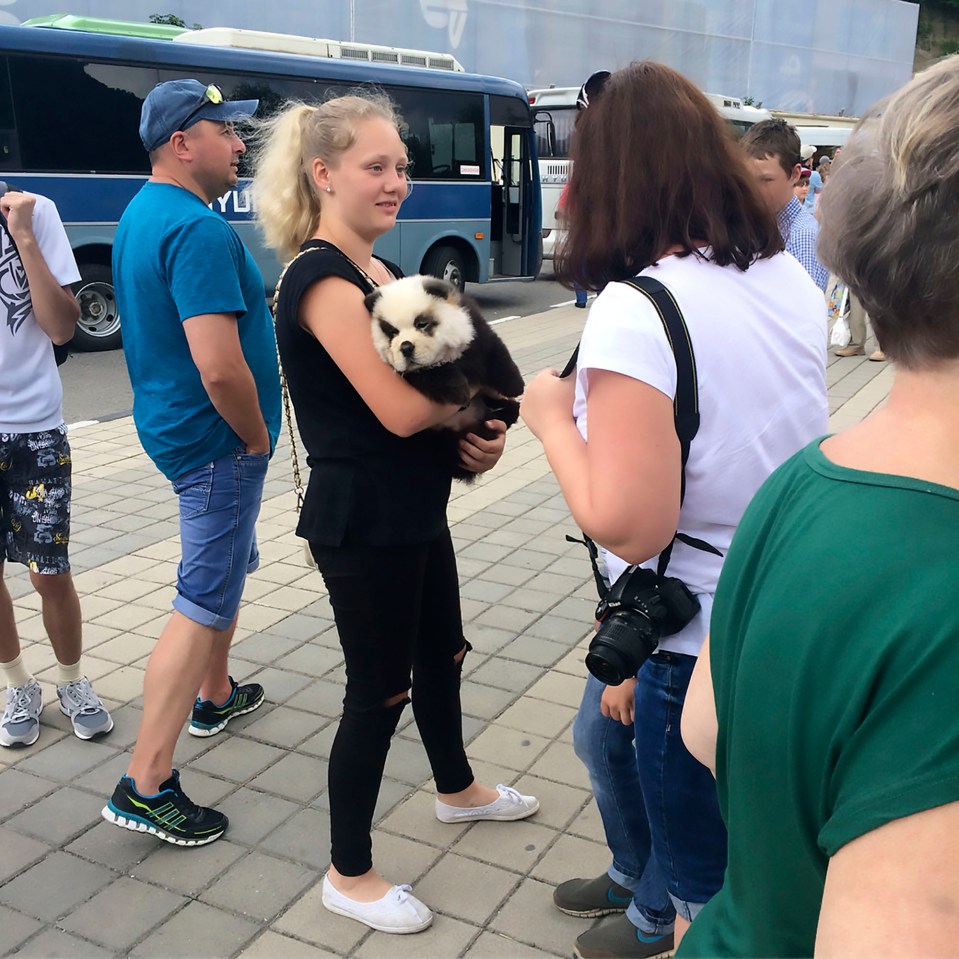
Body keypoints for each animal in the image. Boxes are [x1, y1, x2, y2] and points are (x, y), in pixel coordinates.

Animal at [366, 274, 524, 484]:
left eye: (422, 323)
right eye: (392, 332)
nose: (406, 347)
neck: (446, 355)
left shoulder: (472, 324)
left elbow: (493, 350)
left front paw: (516, 385)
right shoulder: (411, 372)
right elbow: (433, 374)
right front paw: (460, 392)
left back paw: (506, 408)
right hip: (436, 438)